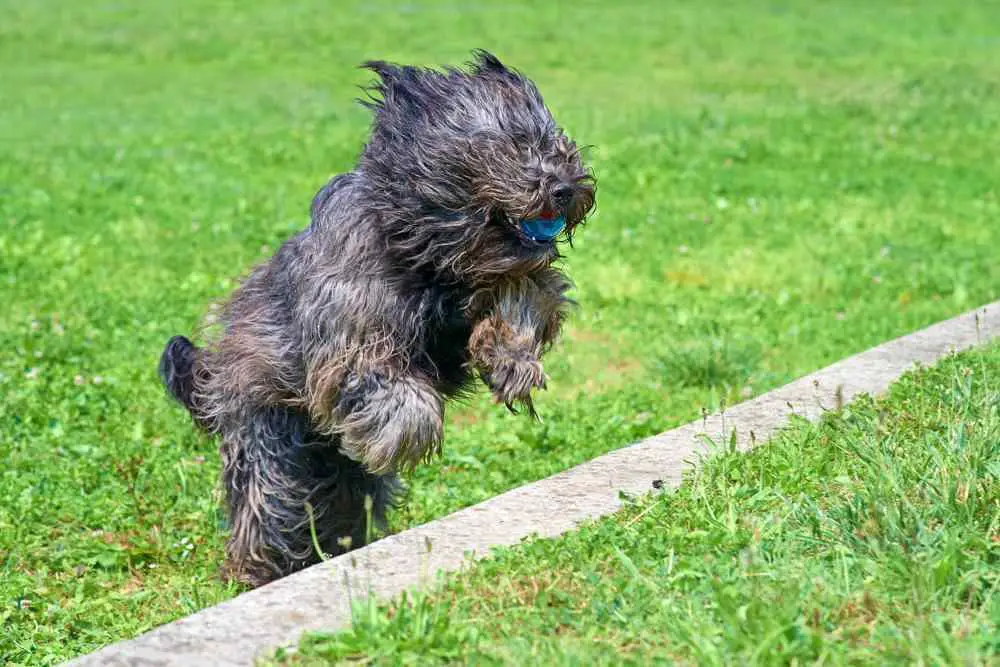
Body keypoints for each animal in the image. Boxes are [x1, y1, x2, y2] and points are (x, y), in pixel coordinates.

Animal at [156, 49, 592, 588]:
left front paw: (509, 361)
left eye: (556, 143)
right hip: (268, 439)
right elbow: (389, 386)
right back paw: (254, 571)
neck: (427, 256)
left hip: (340, 483)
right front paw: (403, 433)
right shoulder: (348, 330)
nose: (566, 188)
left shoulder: (515, 274)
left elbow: (530, 295)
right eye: (512, 144)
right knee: (267, 506)